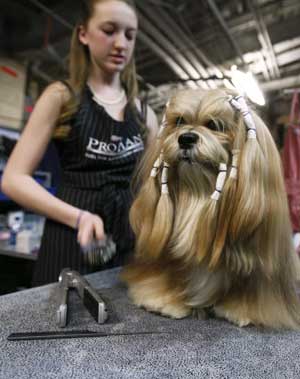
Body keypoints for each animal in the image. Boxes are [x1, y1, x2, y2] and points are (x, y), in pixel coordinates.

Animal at [121, 89, 300, 330]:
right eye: (179, 121)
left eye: (215, 125)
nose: (186, 138)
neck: (198, 195)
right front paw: (163, 300)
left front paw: (243, 310)